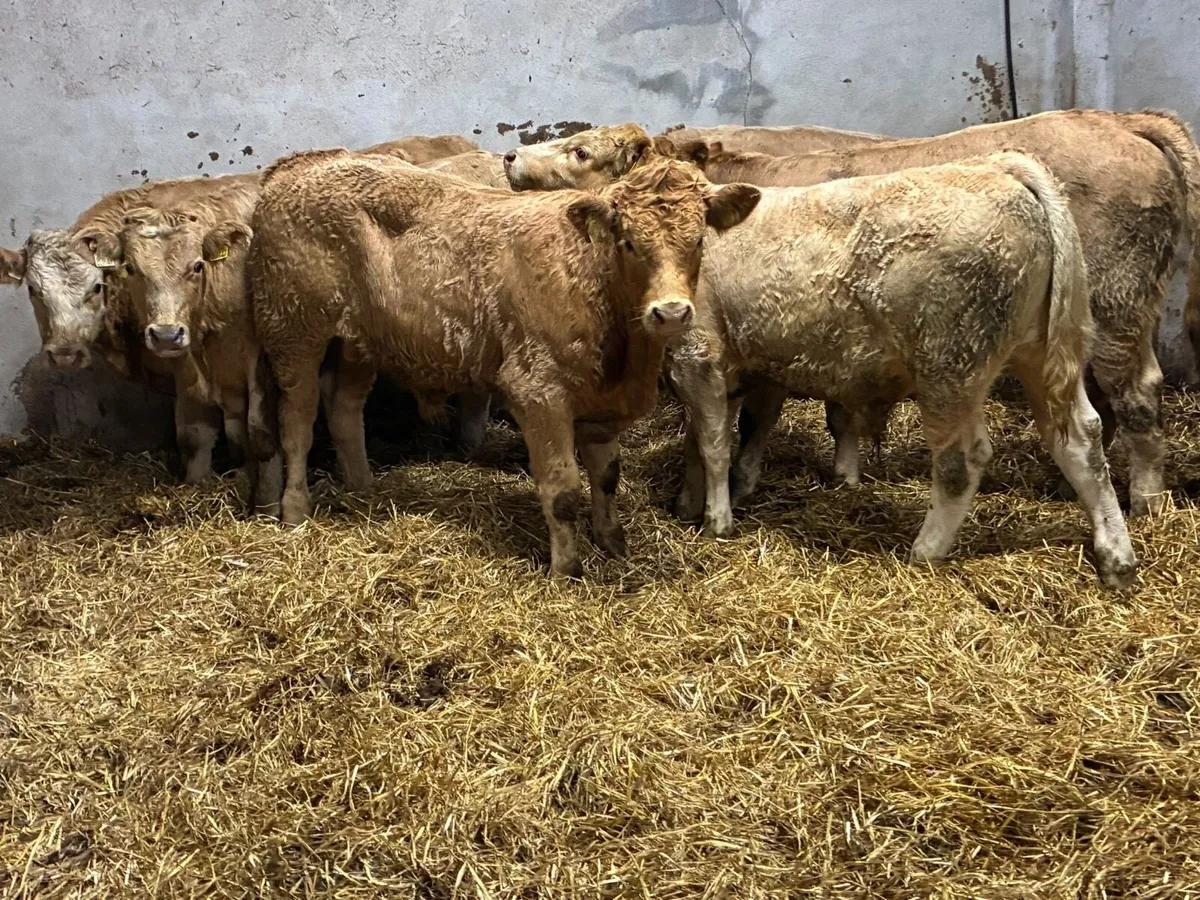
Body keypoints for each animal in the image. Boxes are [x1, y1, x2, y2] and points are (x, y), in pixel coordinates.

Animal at [249, 151, 759, 576]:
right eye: (629, 243)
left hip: (359, 341)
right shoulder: (538, 393)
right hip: (294, 329)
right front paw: (567, 570)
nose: (671, 312)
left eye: (698, 240)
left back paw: (363, 491)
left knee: (344, 410)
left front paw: (614, 544)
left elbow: (608, 476)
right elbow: (562, 490)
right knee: (297, 421)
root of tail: (304, 162)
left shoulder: (602, 404)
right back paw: (294, 510)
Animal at [508, 112, 1200, 519]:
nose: (512, 158)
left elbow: (748, 421)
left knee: (1138, 395)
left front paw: (729, 492)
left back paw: (1145, 499)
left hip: (1115, 311)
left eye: (580, 151)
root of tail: (1123, 122)